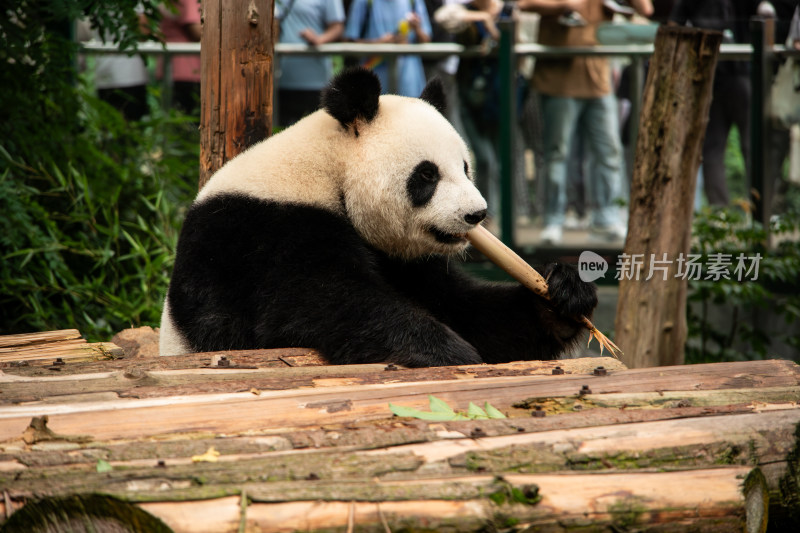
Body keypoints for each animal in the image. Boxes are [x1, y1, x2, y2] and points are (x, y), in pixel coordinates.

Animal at [159, 66, 596, 366]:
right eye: (427, 174)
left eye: (465, 167)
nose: (476, 214)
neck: (328, 168)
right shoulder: (265, 231)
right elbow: (319, 304)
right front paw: (444, 350)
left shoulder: (406, 260)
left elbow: (465, 308)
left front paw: (564, 295)